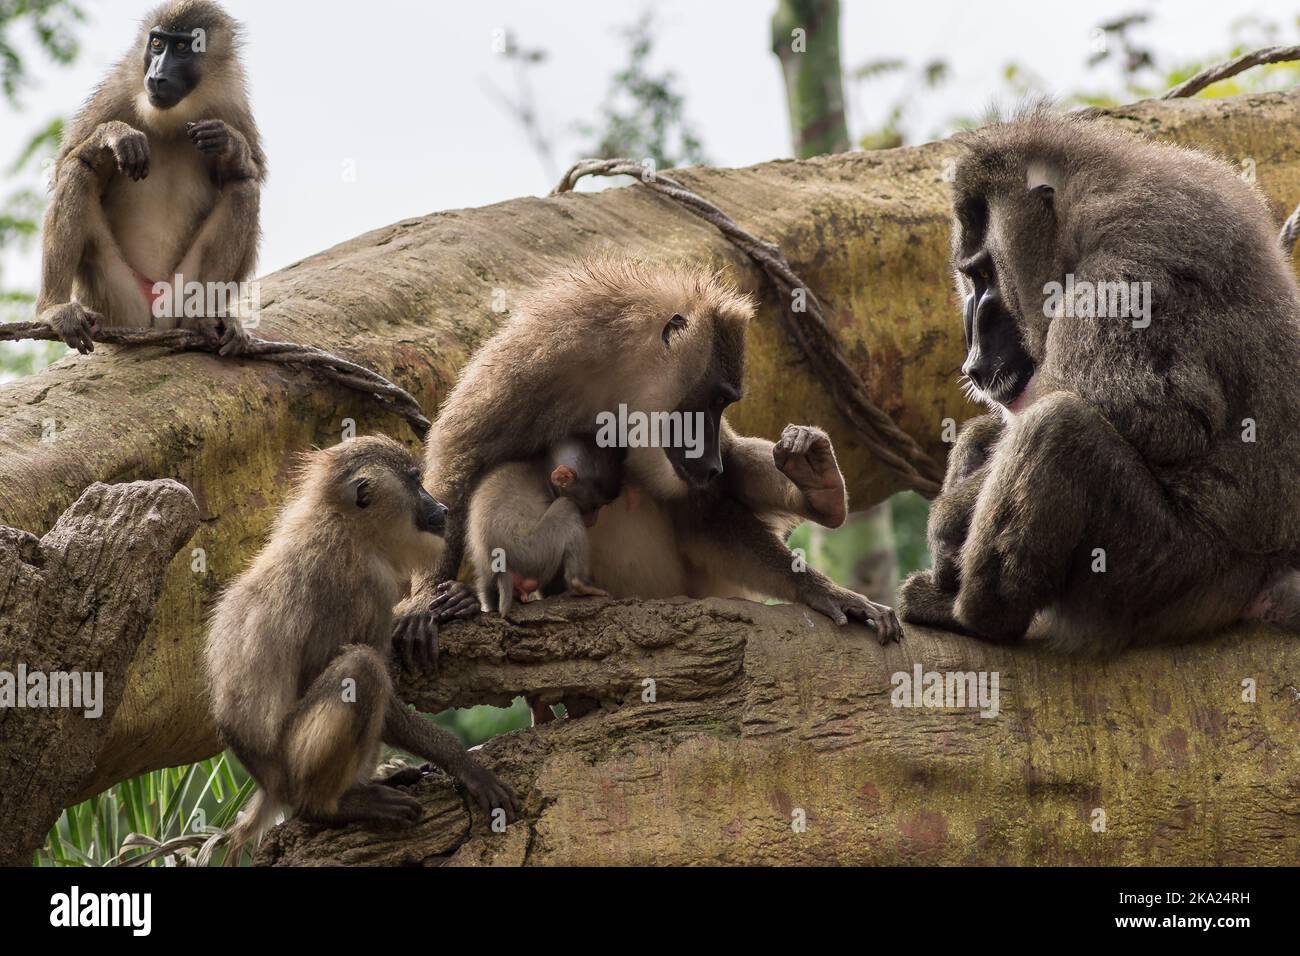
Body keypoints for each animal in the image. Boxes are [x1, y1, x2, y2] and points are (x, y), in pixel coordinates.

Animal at [36, 0, 263, 356]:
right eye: (157, 43)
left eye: (182, 47)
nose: (156, 76)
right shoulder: (119, 87)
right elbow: (64, 165)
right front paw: (115, 136)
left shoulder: (231, 101)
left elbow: (252, 173)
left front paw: (229, 143)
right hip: (116, 299)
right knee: (79, 171)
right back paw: (54, 309)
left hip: (180, 296)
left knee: (244, 188)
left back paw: (205, 319)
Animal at [205, 437, 514, 858]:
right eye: (416, 482)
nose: (441, 508)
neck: (345, 523)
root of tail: (268, 783)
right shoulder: (364, 583)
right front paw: (463, 764)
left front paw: (453, 604)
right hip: (293, 766)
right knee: (361, 668)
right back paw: (329, 807)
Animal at [470, 437, 626, 616]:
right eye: (595, 506)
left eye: (601, 506)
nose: (593, 520)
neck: (544, 474)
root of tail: (503, 566)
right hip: (533, 551)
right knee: (566, 505)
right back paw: (580, 584)